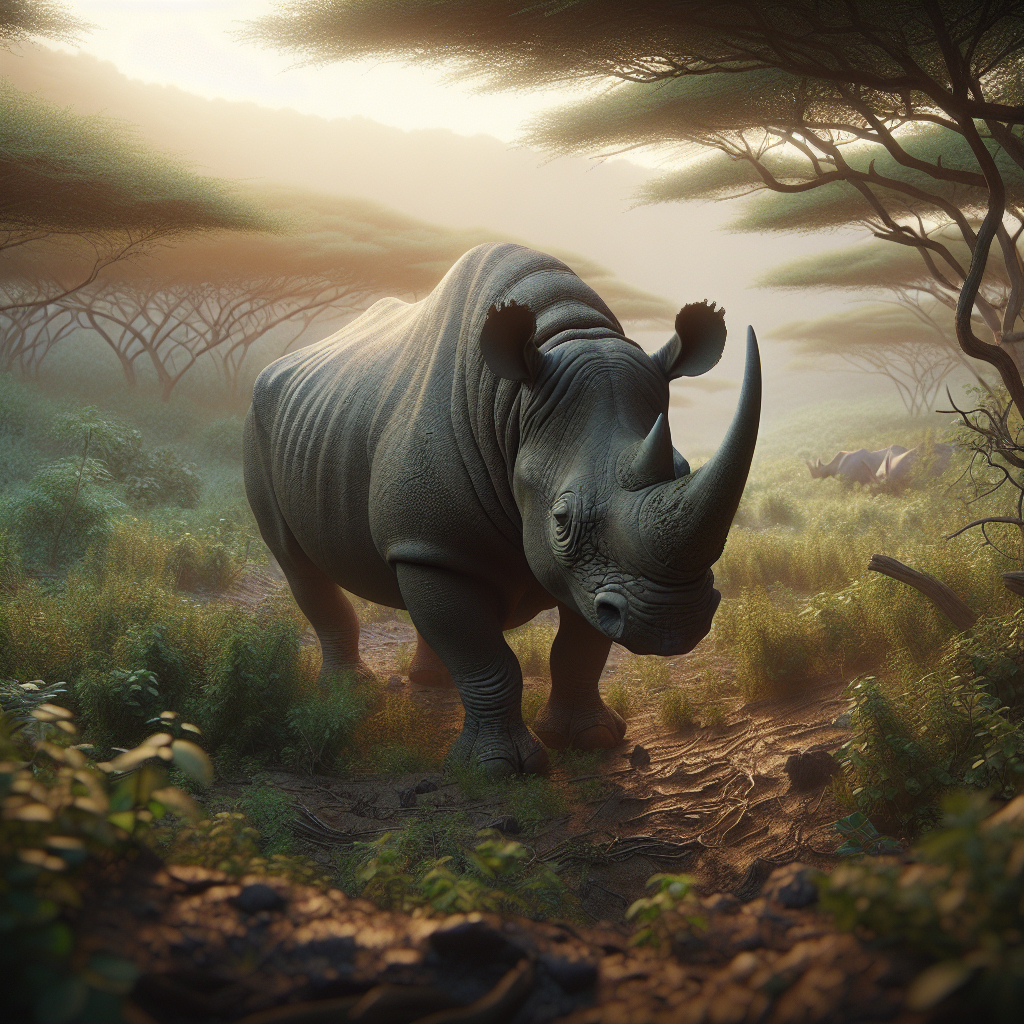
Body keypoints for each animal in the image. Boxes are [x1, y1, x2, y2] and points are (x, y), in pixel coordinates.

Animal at [244, 243, 760, 775]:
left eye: (684, 471)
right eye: (561, 520)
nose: (672, 624)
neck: (514, 407)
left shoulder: (589, 574)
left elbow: (578, 648)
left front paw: (591, 740)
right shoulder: (445, 543)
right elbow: (485, 657)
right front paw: (498, 769)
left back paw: (430, 683)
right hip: (258, 423)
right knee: (299, 564)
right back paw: (350, 692)